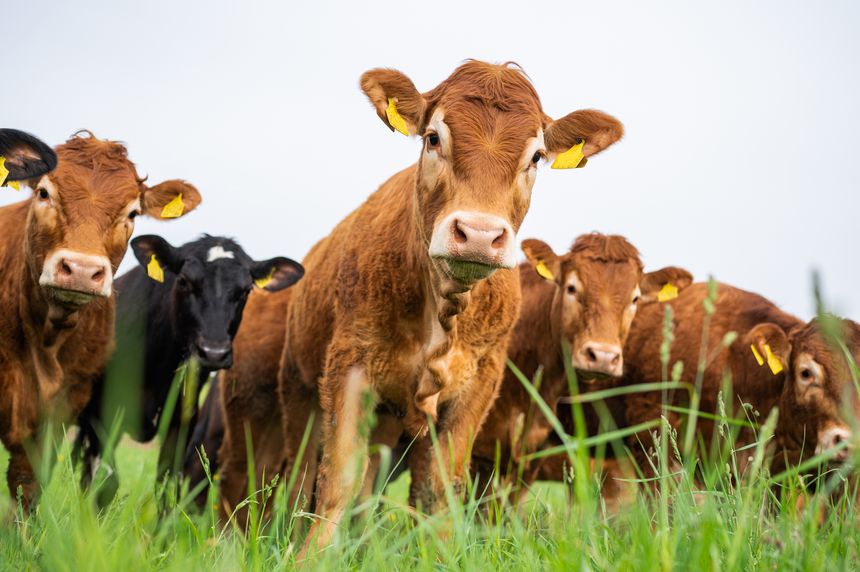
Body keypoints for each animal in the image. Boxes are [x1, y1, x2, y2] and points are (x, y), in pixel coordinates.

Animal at [75, 234, 303, 503]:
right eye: (184, 280)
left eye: (246, 290)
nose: (214, 352)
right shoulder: (102, 414)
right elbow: (106, 482)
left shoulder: (181, 422)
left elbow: (168, 486)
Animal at [216, 60, 625, 552]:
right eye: (433, 138)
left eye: (536, 157)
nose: (480, 233)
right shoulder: (349, 368)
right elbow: (337, 478)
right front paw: (314, 554)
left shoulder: (477, 386)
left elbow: (438, 489)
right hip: (285, 398)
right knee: (280, 478)